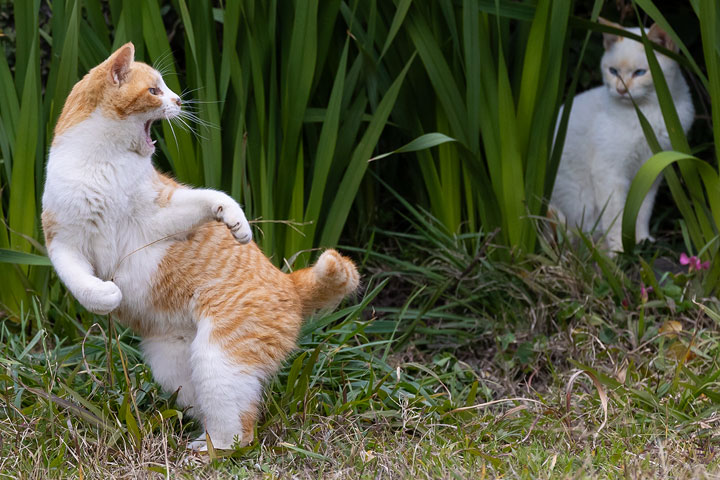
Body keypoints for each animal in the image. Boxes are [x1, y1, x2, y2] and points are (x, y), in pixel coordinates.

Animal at [42, 44, 360, 450]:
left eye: (165, 89)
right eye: (154, 91)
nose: (180, 100)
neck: (105, 164)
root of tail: (288, 282)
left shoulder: (157, 216)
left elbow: (211, 198)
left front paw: (235, 220)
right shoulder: (64, 243)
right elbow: (82, 284)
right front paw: (107, 296)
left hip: (219, 358)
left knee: (241, 430)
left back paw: (208, 451)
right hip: (176, 367)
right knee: (216, 411)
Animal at [548, 19, 696, 251]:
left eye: (640, 73)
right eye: (613, 71)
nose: (620, 90)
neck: (648, 112)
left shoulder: (651, 170)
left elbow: (642, 211)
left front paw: (641, 240)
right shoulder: (610, 173)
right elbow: (617, 217)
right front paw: (621, 249)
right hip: (578, 202)